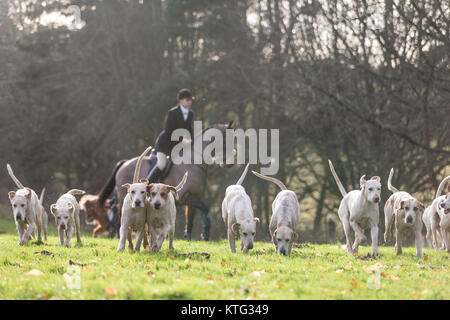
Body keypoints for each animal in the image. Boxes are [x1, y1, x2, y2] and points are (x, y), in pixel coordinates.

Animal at [96, 120, 234, 240]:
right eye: (226, 139)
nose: (230, 164)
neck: (194, 163)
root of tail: (124, 163)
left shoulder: (194, 197)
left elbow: (191, 217)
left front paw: (188, 237)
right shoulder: (185, 197)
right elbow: (206, 209)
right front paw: (205, 234)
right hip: (122, 196)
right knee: (119, 214)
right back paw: (118, 235)